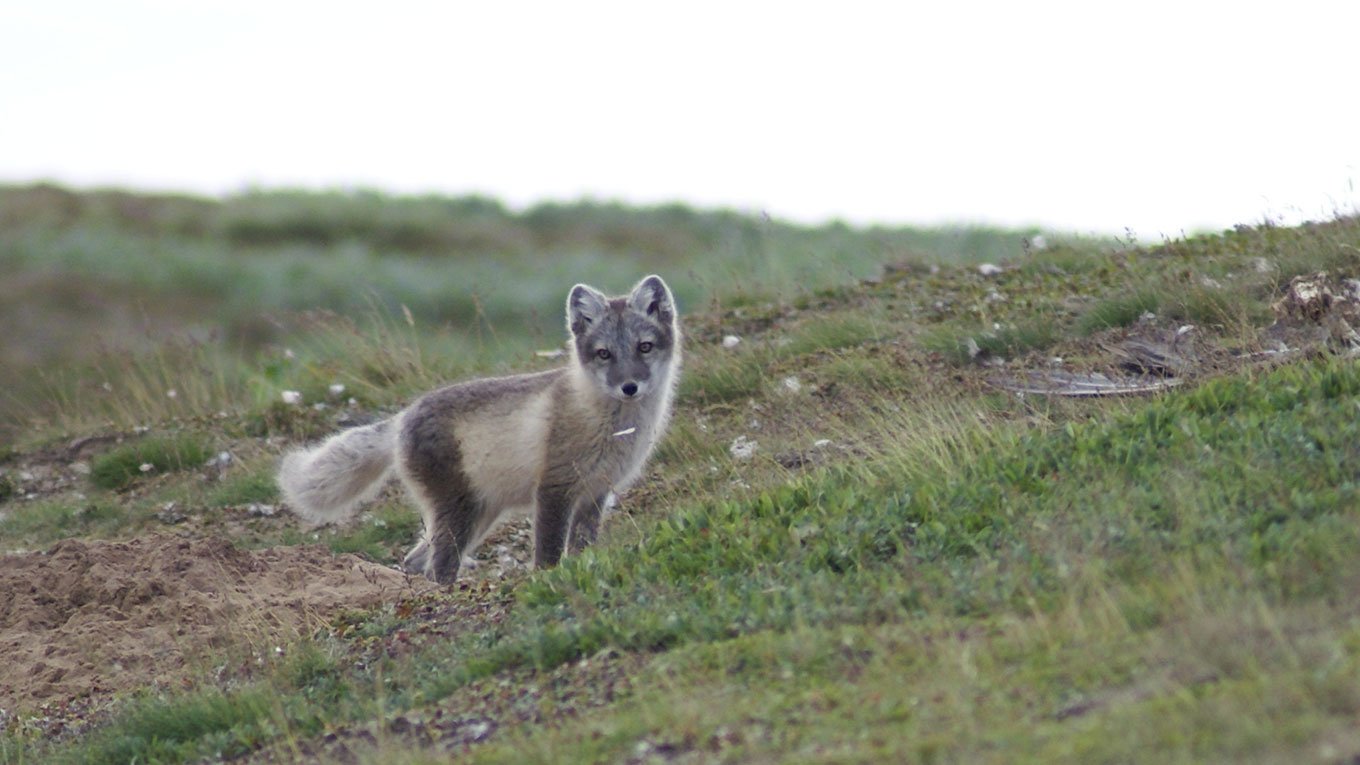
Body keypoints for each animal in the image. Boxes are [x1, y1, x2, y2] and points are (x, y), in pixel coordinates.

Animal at [276, 276, 680, 579]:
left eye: (644, 347)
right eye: (604, 354)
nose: (629, 387)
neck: (614, 428)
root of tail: (404, 416)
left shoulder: (595, 492)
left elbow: (582, 547)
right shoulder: (555, 488)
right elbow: (548, 555)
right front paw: (549, 580)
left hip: (482, 512)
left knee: (415, 560)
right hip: (461, 513)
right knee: (436, 568)